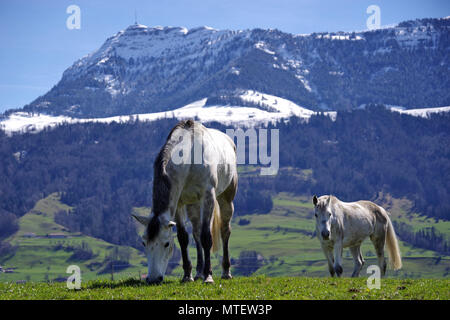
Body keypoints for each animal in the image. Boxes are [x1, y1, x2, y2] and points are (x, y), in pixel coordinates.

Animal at [131, 119, 239, 284]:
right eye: (144, 242)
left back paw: (225, 272)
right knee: (196, 232)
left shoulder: (208, 197)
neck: (190, 158)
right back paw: (199, 272)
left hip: (225, 198)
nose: (153, 279)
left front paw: (209, 276)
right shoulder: (179, 203)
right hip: (193, 204)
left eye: (166, 244)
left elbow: (206, 237)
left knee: (224, 230)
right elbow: (183, 238)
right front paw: (187, 275)